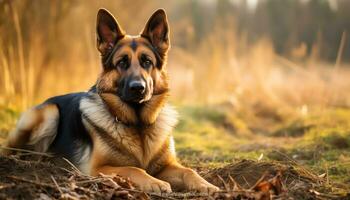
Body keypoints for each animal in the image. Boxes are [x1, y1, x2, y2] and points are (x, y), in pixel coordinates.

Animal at [2, 9, 219, 194]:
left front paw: (206, 185)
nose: (138, 88)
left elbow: (189, 170)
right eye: (122, 62)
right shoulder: (98, 168)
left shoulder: (168, 166)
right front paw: (155, 182)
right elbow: (134, 169)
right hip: (49, 113)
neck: (138, 125)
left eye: (147, 61)